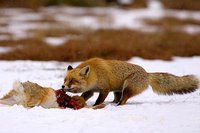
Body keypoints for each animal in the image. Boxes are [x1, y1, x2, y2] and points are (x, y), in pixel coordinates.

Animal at [62, 57, 198, 105]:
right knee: (117, 98)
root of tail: (147, 74)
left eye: (72, 80)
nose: (63, 86)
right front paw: (77, 101)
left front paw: (95, 106)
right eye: (65, 80)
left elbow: (99, 100)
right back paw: (113, 103)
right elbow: (84, 96)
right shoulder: (91, 90)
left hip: (127, 87)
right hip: (117, 90)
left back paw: (118, 106)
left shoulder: (104, 89)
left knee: (123, 100)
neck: (95, 74)